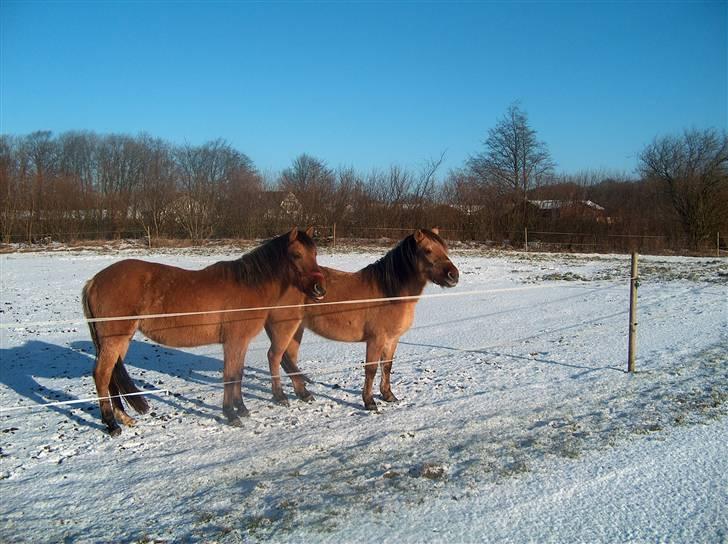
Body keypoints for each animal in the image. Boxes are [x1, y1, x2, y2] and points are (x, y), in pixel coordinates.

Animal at [80, 227, 328, 436]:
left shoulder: (241, 342)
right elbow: (229, 376)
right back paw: (112, 425)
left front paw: (241, 408)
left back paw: (124, 418)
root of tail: (93, 281)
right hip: (114, 339)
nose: (320, 290)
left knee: (111, 374)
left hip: (122, 340)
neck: (248, 285)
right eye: (296, 254)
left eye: (315, 253)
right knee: (101, 374)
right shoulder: (233, 341)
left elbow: (237, 374)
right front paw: (231, 414)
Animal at [268, 227, 460, 410]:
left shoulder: (392, 339)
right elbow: (371, 369)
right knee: (274, 357)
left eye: (445, 249)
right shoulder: (375, 340)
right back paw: (281, 397)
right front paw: (369, 402)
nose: (454, 275)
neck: (390, 293)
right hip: (284, 329)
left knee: (289, 359)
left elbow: (387, 367)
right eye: (428, 250)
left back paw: (304, 394)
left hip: (295, 330)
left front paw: (388, 395)